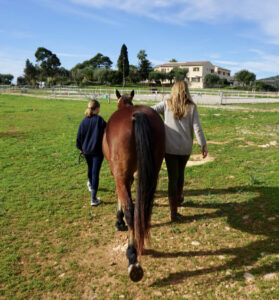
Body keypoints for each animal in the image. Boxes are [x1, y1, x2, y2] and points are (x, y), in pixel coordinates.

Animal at [102, 89, 165, 282]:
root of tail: (137, 115)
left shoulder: (119, 174)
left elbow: (120, 197)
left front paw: (119, 221)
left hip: (122, 174)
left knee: (131, 210)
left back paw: (132, 258)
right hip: (152, 172)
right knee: (143, 208)